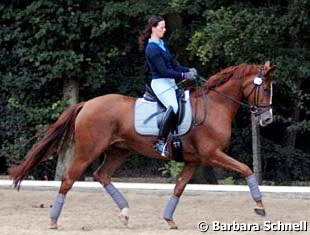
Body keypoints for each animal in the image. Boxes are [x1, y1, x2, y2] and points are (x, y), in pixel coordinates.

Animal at [9, 61, 276, 229]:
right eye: (264, 88)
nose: (267, 119)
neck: (215, 106)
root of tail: (86, 104)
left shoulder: (194, 160)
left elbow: (179, 188)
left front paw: (169, 220)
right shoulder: (212, 154)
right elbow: (246, 169)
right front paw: (260, 207)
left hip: (118, 151)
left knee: (101, 175)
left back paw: (125, 213)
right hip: (88, 151)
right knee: (68, 179)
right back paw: (53, 221)